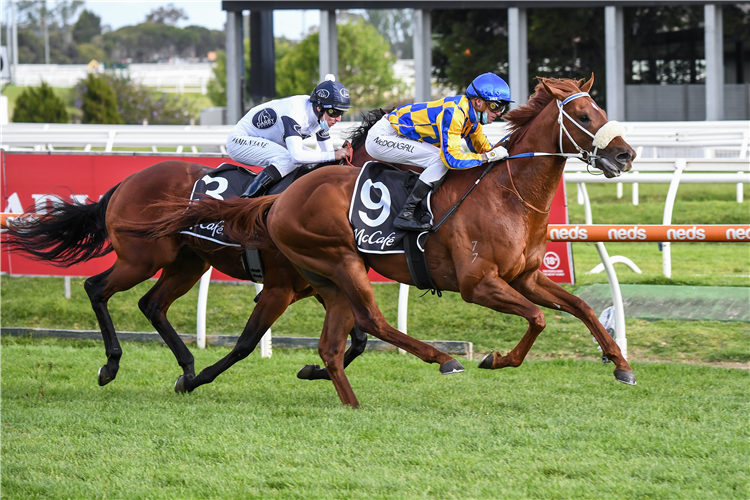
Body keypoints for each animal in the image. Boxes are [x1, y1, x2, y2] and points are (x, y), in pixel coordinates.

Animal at [135, 76, 640, 408]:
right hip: (339, 261)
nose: (626, 154)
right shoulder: (478, 284)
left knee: (343, 335)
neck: (506, 195)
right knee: (370, 320)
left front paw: (620, 364)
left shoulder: (526, 277)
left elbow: (581, 307)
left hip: (323, 274)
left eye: (601, 111)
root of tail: (278, 201)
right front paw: (495, 359)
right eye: (583, 115)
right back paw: (442, 360)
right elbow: (537, 318)